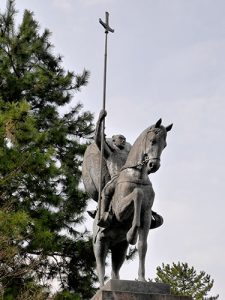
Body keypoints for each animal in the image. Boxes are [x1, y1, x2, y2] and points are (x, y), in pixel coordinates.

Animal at [92, 119, 173, 286]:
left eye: (165, 145)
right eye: (152, 141)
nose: (153, 166)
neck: (138, 175)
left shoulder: (146, 216)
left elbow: (142, 246)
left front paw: (142, 279)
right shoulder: (119, 211)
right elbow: (137, 194)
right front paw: (132, 234)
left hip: (119, 247)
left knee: (115, 269)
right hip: (100, 243)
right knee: (100, 265)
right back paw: (102, 287)